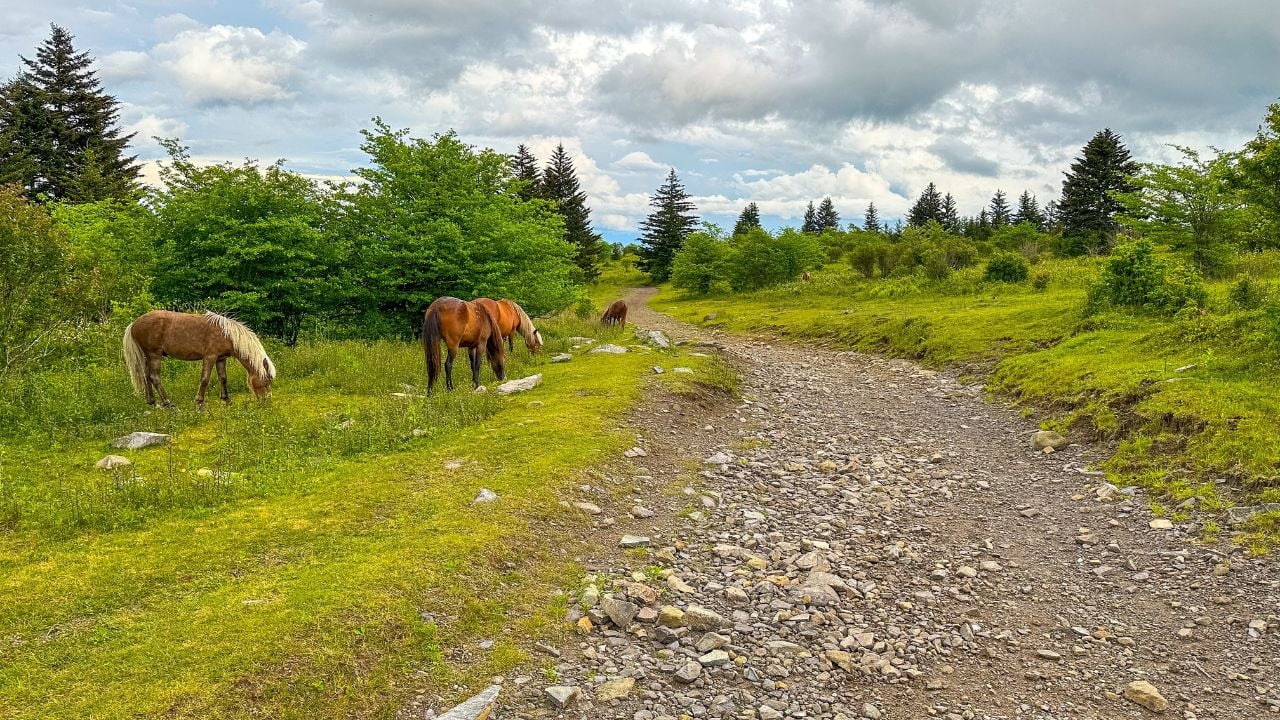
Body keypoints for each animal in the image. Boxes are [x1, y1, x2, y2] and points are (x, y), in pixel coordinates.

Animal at [123, 310, 276, 408]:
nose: (266, 401)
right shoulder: (209, 357)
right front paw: (199, 403)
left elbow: (223, 378)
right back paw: (168, 403)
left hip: (147, 357)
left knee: (146, 377)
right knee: (154, 377)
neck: (226, 334)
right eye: (267, 381)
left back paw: (152, 402)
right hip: (154, 355)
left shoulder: (220, 359)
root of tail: (134, 324)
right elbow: (205, 379)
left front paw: (226, 400)